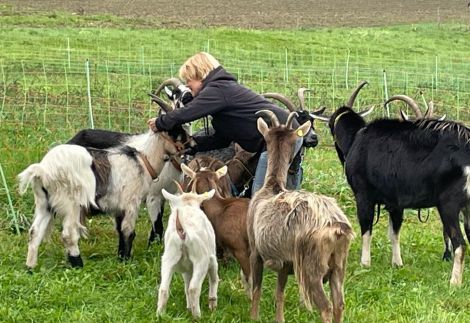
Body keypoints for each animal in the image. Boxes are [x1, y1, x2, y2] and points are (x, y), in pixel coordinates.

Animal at [17, 128, 182, 268]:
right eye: (177, 133)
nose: (187, 147)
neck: (142, 161)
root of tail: (42, 169)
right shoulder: (131, 203)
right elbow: (128, 231)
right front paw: (127, 261)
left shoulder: (119, 208)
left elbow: (120, 230)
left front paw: (120, 256)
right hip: (71, 204)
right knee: (68, 234)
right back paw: (78, 264)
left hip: (44, 203)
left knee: (34, 231)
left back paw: (30, 266)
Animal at [156, 189, 218, 318]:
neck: (187, 205)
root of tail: (182, 230)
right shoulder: (212, 259)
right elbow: (214, 278)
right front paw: (213, 305)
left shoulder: (186, 268)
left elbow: (186, 284)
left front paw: (188, 307)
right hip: (201, 259)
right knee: (193, 288)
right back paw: (197, 316)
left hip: (168, 258)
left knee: (163, 289)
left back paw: (160, 315)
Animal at [248, 110, 354, 322]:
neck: (271, 187)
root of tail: (338, 228)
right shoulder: (285, 261)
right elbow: (279, 293)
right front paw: (279, 319)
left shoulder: (255, 251)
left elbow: (257, 289)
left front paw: (253, 317)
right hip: (339, 267)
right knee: (339, 304)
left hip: (312, 268)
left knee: (326, 307)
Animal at [312, 81, 470, 286]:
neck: (358, 138)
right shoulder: (396, 202)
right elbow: (394, 232)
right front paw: (397, 263)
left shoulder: (363, 195)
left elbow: (366, 228)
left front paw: (365, 263)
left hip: (448, 205)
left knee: (460, 243)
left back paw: (454, 283)